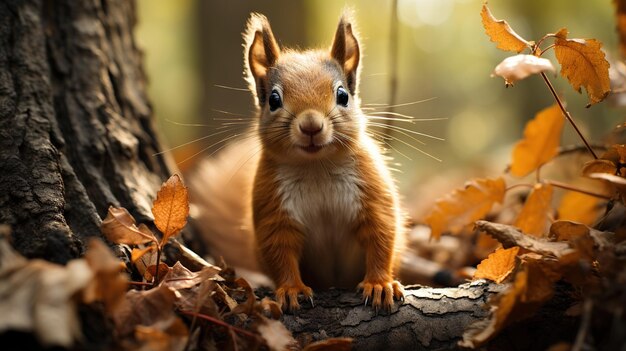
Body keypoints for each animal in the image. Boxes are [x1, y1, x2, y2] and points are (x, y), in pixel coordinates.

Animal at [188, 11, 408, 312]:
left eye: (343, 95)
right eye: (273, 99)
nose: (311, 125)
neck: (317, 167)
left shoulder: (371, 193)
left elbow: (380, 238)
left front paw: (378, 284)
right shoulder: (274, 209)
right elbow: (281, 253)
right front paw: (292, 289)